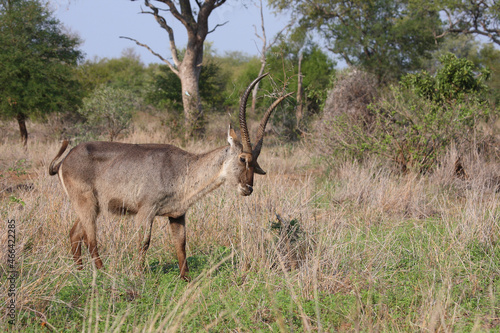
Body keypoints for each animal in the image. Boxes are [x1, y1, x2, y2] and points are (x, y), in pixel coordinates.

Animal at [48, 73, 292, 280]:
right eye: (243, 158)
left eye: (256, 162)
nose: (248, 189)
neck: (182, 169)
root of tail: (67, 158)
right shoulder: (145, 211)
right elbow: (144, 243)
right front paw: (139, 275)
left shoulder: (177, 214)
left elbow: (181, 245)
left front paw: (186, 279)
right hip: (87, 204)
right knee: (91, 239)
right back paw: (102, 273)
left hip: (92, 206)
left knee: (74, 234)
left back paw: (80, 273)